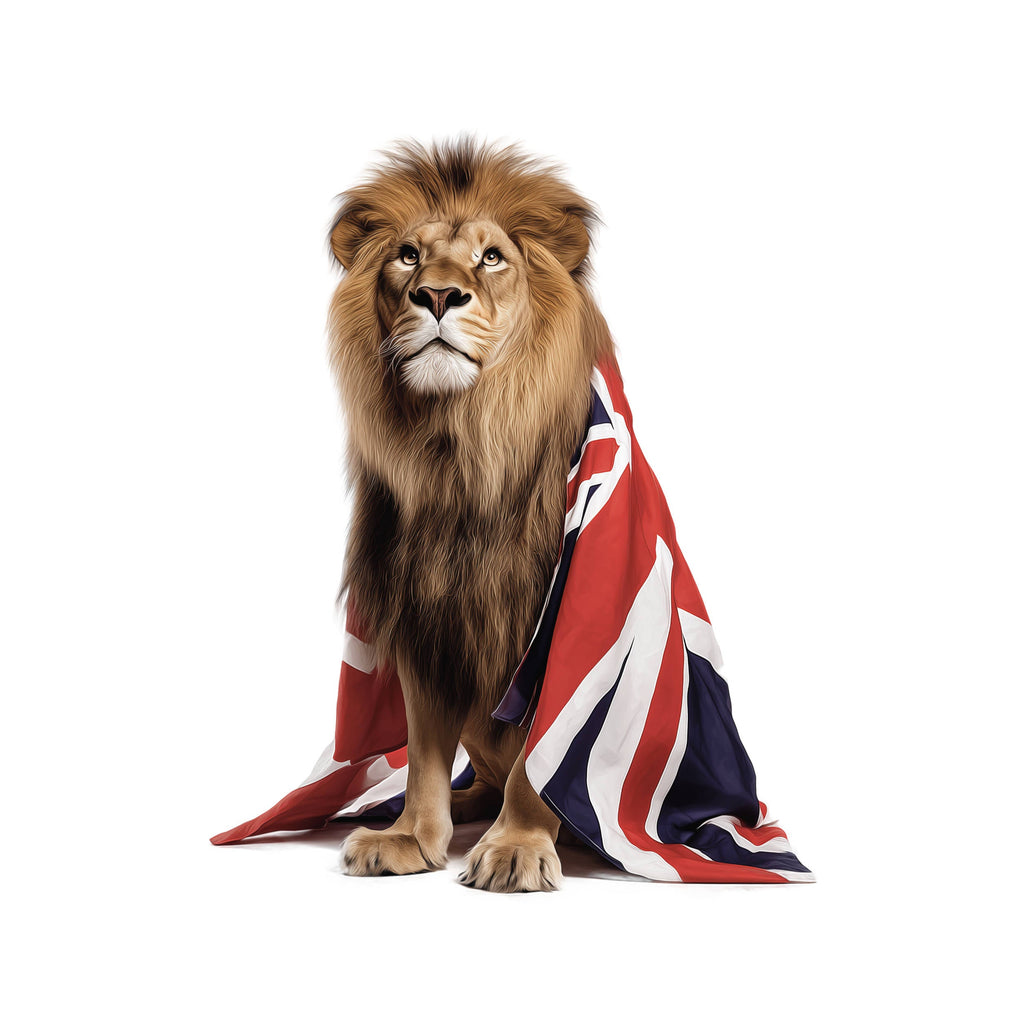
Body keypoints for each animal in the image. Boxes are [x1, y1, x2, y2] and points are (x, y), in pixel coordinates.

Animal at [329, 138, 616, 892]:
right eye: (408, 256)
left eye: (491, 257)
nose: (435, 295)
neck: (460, 450)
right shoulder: (428, 619)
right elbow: (425, 754)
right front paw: (409, 837)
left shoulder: (554, 631)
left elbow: (538, 766)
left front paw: (517, 848)